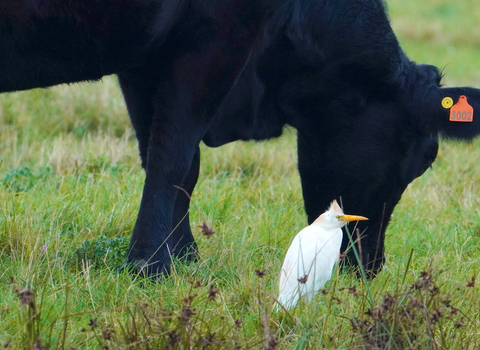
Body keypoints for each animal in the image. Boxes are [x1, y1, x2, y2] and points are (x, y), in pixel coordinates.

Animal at [2, 1, 480, 278]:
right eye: (422, 159)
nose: (370, 268)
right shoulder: (218, 34)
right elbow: (173, 155)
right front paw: (152, 263)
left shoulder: (142, 58)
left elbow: (169, 159)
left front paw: (183, 255)